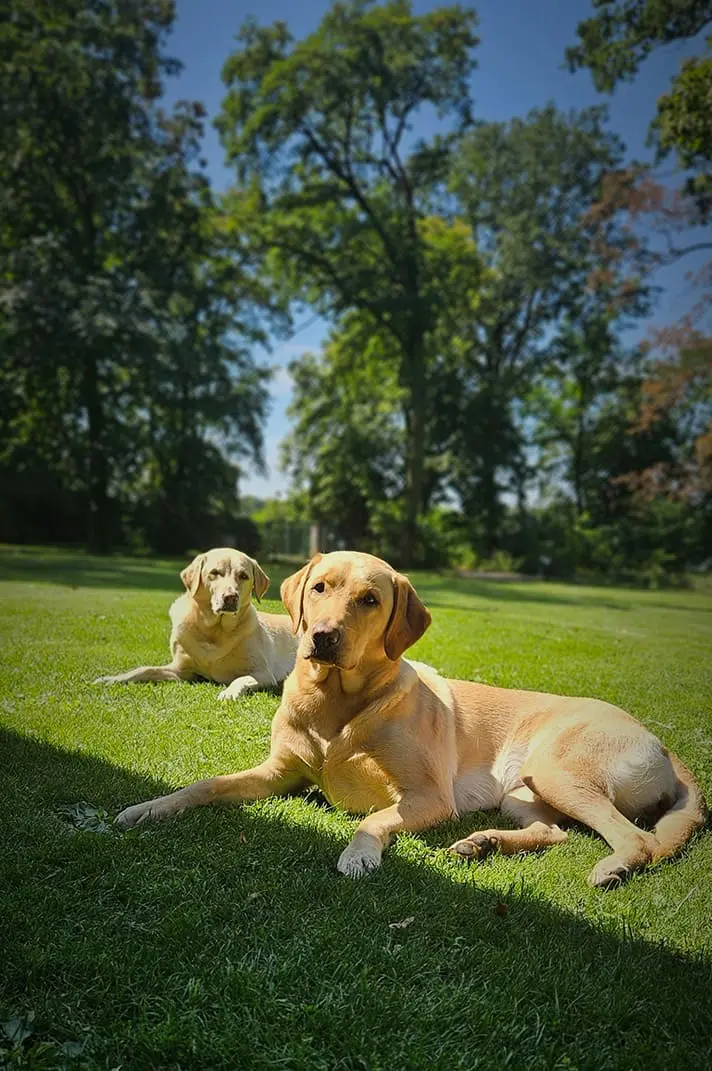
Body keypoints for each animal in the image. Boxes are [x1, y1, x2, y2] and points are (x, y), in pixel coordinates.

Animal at [93, 544, 293, 702]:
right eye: (214, 573)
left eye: (243, 575)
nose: (230, 597)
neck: (214, 631)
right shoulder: (181, 670)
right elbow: (144, 670)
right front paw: (111, 679)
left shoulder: (263, 672)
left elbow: (240, 679)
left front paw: (229, 693)